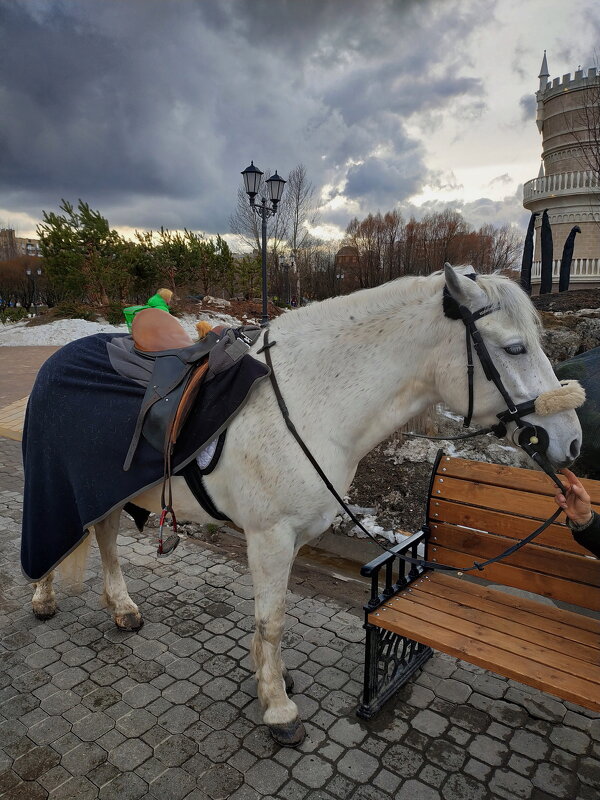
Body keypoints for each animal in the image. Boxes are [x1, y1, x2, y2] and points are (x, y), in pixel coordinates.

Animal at [31, 268, 580, 744]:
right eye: (514, 347)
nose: (572, 441)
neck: (311, 401)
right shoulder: (269, 537)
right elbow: (270, 622)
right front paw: (278, 709)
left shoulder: (292, 538)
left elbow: (275, 619)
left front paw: (274, 678)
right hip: (57, 481)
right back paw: (43, 596)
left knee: (105, 538)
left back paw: (121, 607)